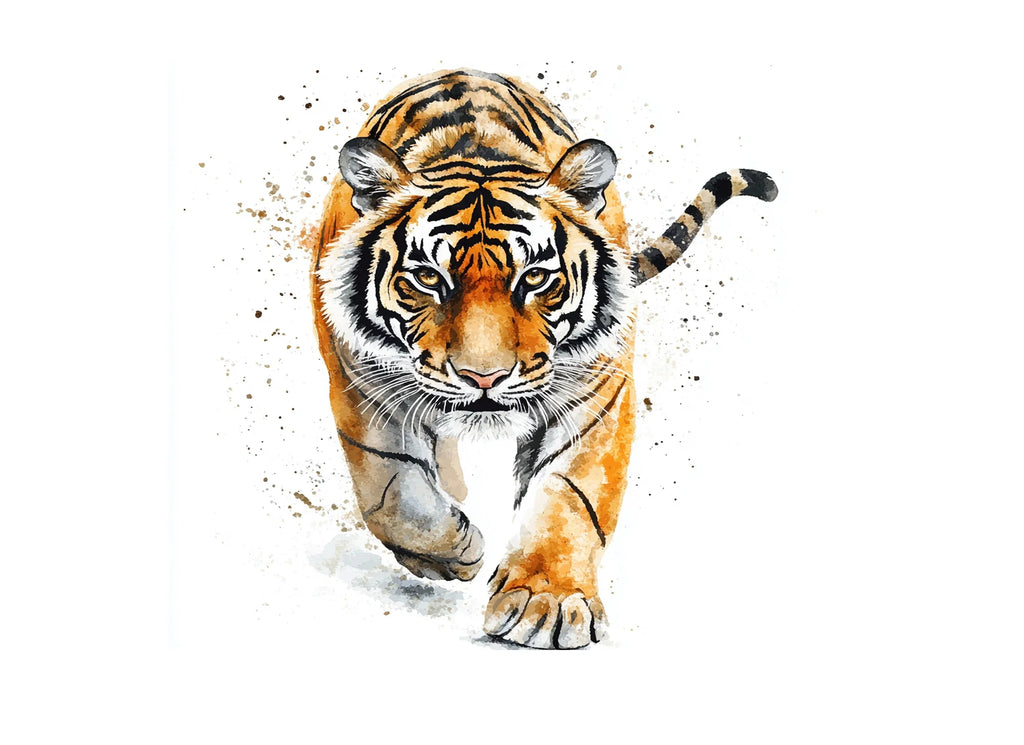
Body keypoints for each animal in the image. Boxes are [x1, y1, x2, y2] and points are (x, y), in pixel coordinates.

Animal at [311, 69, 777, 649]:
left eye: (534, 278)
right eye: (427, 279)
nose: (483, 377)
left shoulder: (597, 392)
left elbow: (569, 495)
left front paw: (546, 601)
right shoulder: (359, 382)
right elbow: (389, 491)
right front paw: (454, 550)